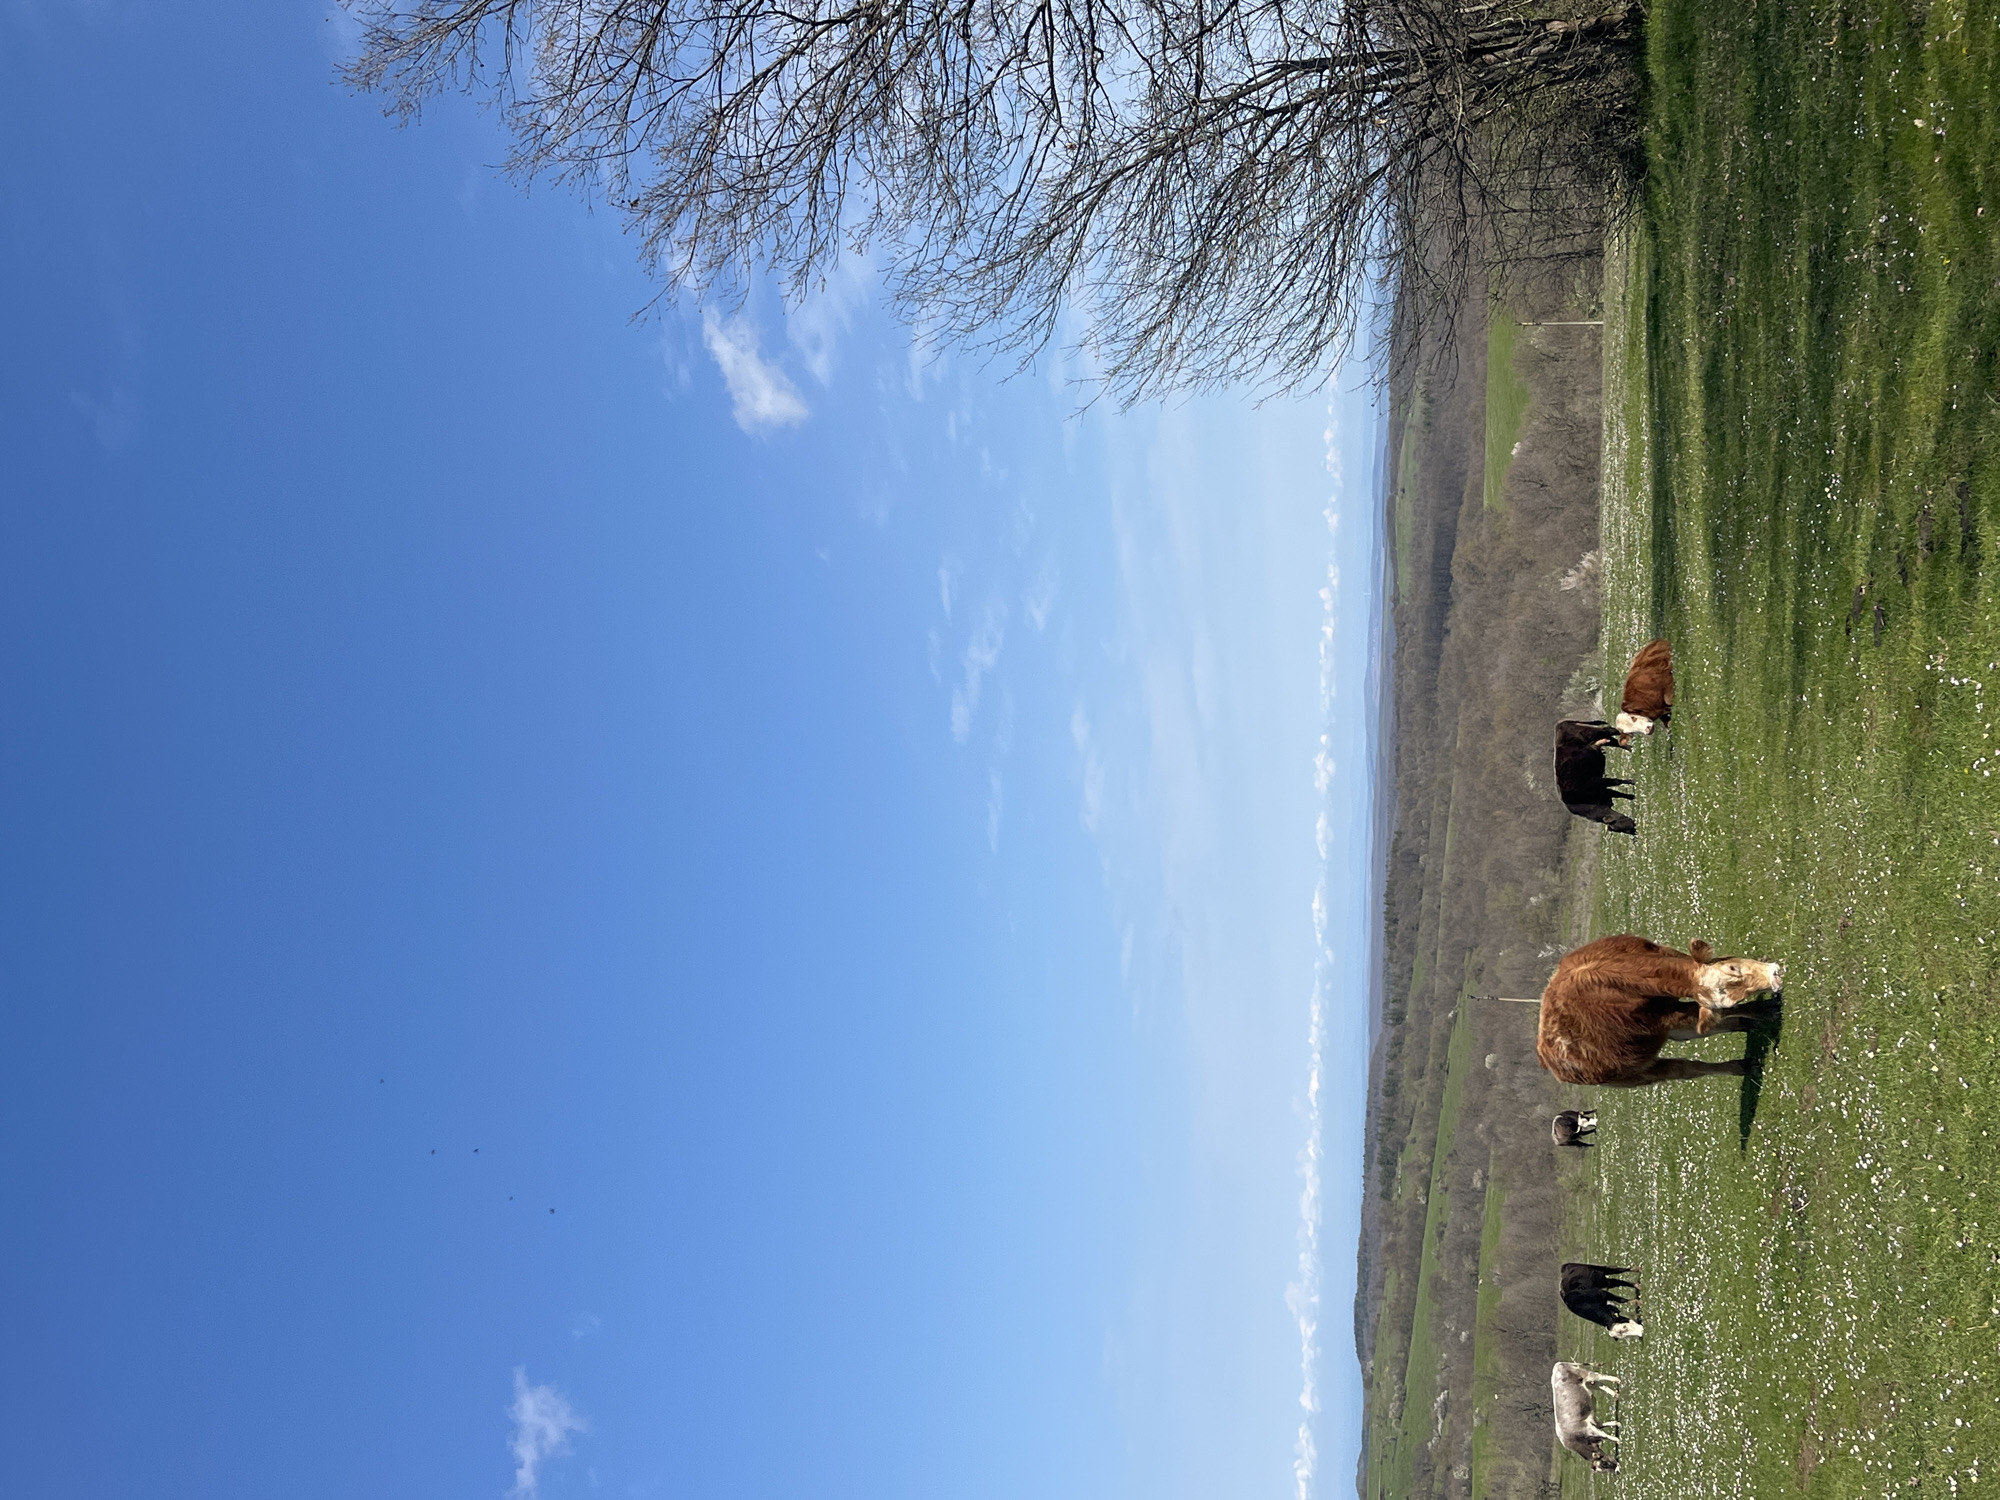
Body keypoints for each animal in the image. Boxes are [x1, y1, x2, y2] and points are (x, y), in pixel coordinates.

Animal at [1536, 934, 1784, 1087]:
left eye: (1733, 967)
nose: (1774, 977)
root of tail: (1546, 1056)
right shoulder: (1669, 1017)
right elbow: (1724, 1015)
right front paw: (1764, 1010)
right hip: (1638, 1073)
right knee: (1688, 1068)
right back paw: (1741, 1065)